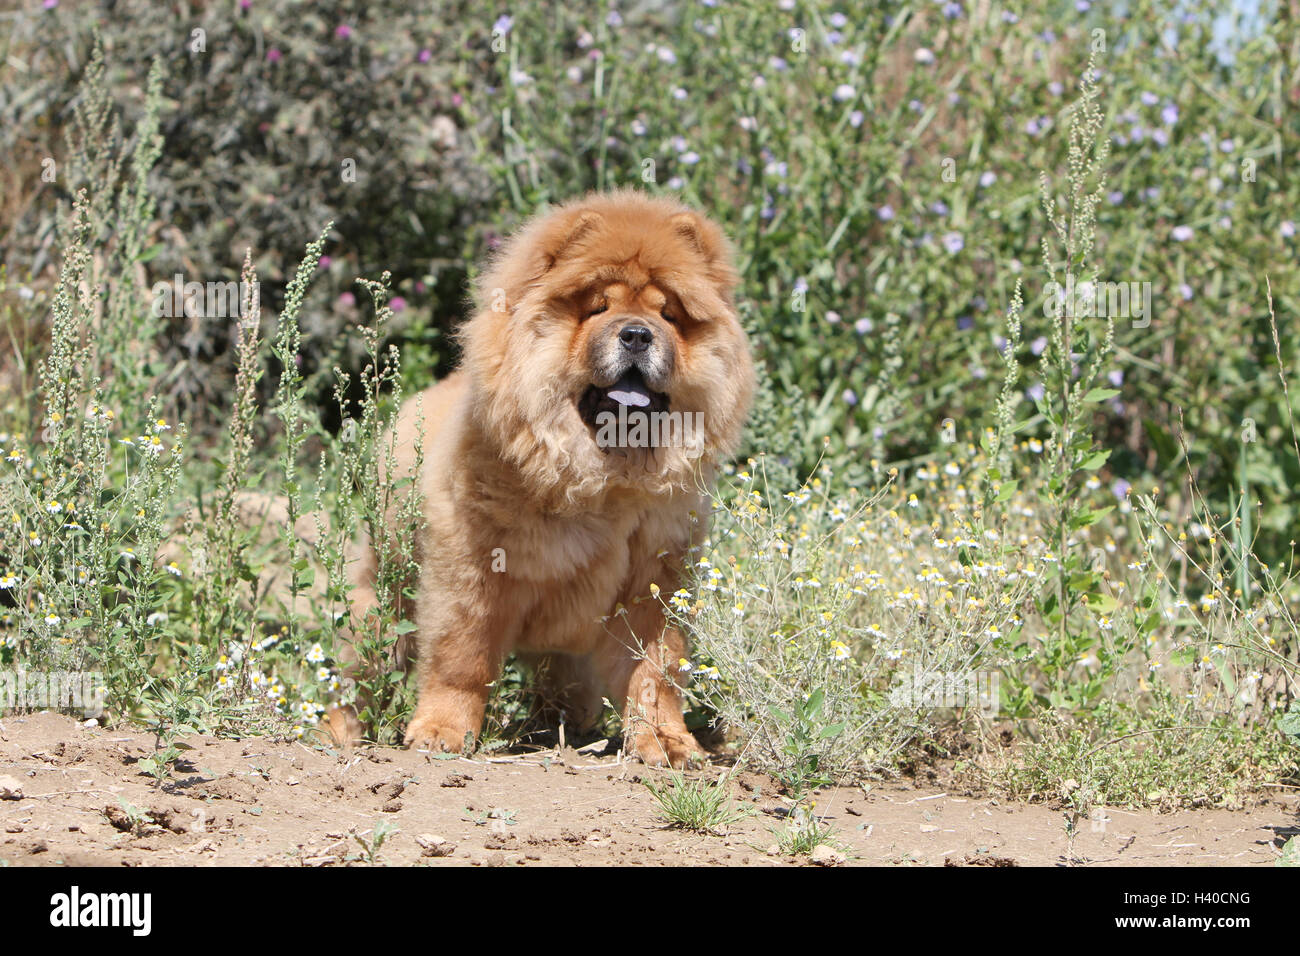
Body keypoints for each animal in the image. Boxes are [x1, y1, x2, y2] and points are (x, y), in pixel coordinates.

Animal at [330, 191, 759, 764]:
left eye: (668, 314)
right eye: (598, 307)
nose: (637, 333)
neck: (604, 480)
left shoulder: (656, 580)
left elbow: (655, 671)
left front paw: (666, 743)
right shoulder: (472, 570)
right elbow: (462, 655)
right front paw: (443, 732)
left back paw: (557, 731)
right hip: (382, 594)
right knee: (357, 670)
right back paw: (339, 733)